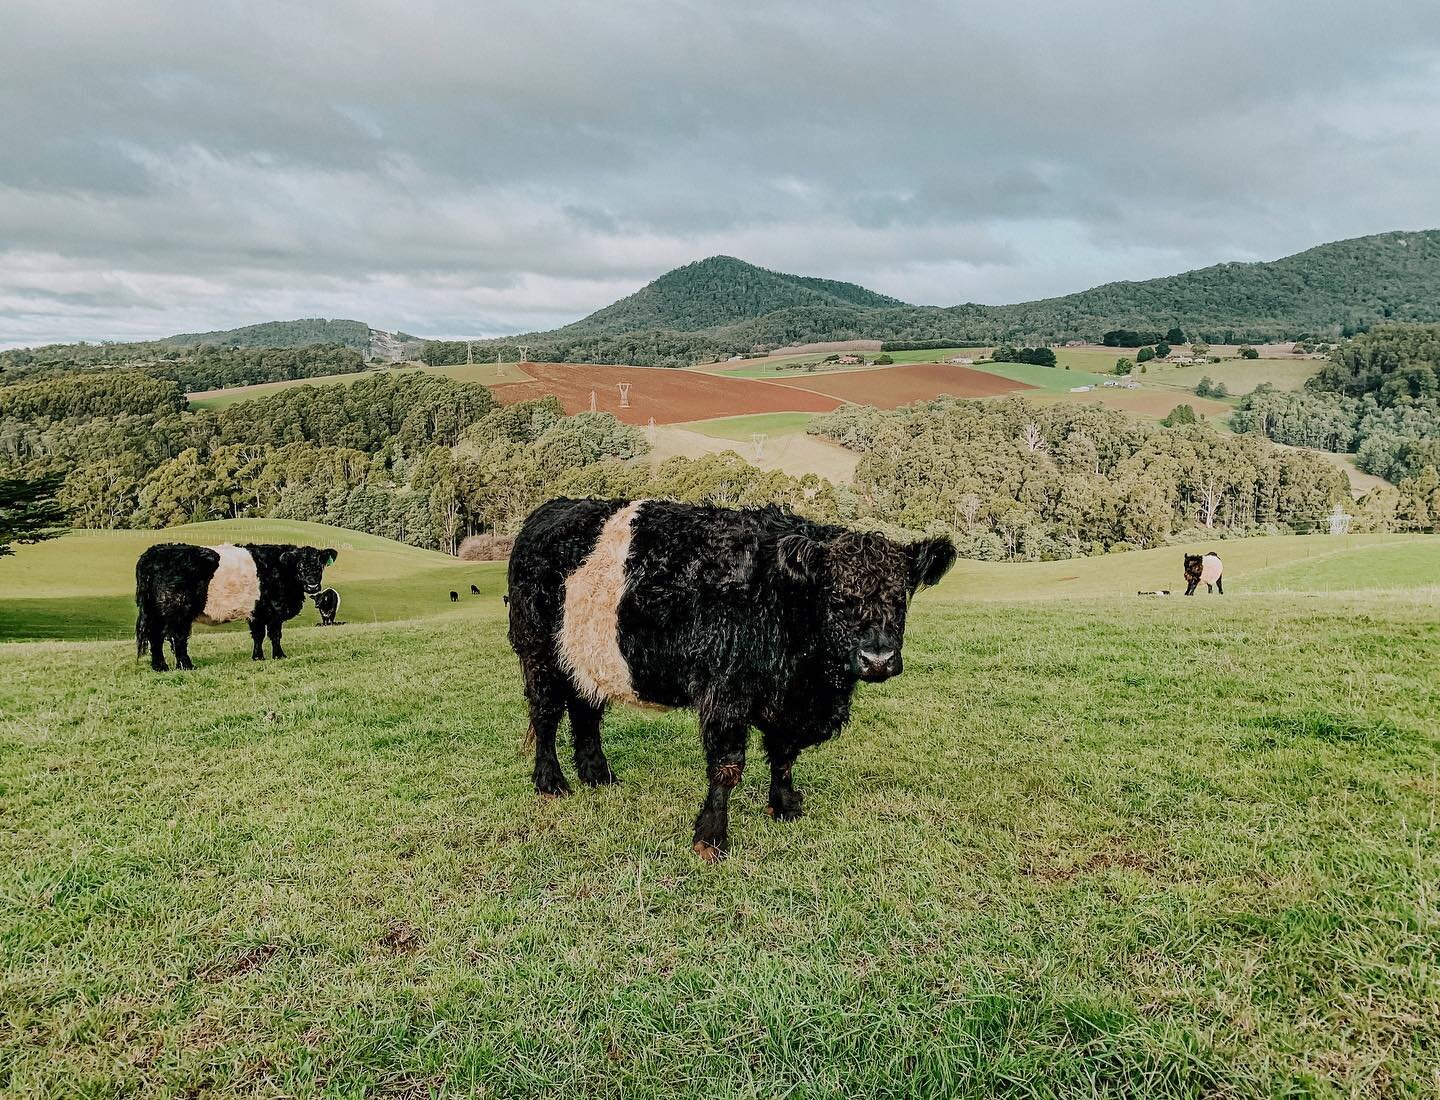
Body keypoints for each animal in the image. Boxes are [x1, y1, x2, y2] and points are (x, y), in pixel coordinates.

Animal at [133, 544, 336, 670]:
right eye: (299, 565)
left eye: (320, 565)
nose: (313, 585)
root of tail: (153, 552)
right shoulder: (274, 611)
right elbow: (275, 634)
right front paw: (280, 655)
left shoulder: (256, 611)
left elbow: (258, 635)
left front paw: (258, 657)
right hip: (177, 610)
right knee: (177, 638)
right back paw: (186, 665)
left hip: (158, 613)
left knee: (156, 637)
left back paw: (160, 667)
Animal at [506, 495, 956, 858]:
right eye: (836, 598)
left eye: (901, 598)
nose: (877, 659)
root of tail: (549, 510)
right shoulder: (725, 693)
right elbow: (727, 766)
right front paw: (710, 839)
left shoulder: (786, 702)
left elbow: (784, 755)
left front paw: (784, 805)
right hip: (539, 653)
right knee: (546, 714)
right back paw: (550, 782)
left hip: (588, 658)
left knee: (585, 713)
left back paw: (598, 775)